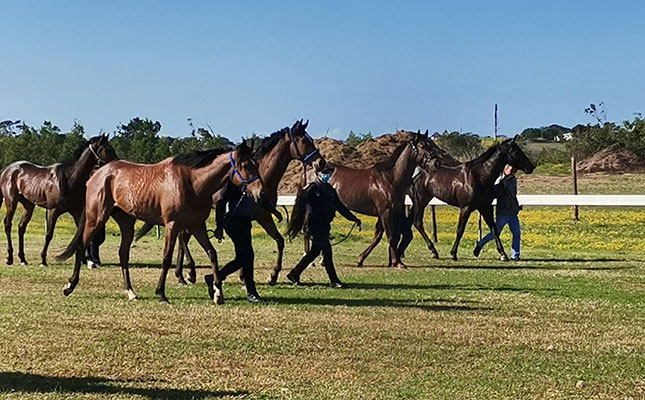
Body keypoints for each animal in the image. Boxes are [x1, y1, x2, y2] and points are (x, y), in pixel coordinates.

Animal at [0, 134, 115, 266]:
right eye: (107, 149)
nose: (118, 163)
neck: (69, 178)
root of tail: (7, 170)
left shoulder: (76, 211)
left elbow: (80, 235)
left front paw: (85, 260)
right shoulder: (53, 211)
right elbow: (49, 235)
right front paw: (43, 260)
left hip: (28, 206)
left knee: (21, 227)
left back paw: (23, 259)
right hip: (11, 202)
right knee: (8, 224)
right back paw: (9, 258)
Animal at [55, 141, 262, 304]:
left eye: (255, 164)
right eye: (245, 165)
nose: (259, 192)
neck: (191, 182)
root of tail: (98, 174)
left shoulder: (197, 226)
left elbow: (212, 253)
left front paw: (218, 293)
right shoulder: (173, 225)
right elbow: (166, 258)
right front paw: (161, 293)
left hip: (126, 223)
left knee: (123, 254)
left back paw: (130, 292)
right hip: (96, 217)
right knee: (81, 246)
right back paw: (69, 286)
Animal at [322, 131, 432, 268]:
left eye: (429, 144)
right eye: (421, 145)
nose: (435, 161)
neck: (390, 178)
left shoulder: (387, 213)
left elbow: (379, 237)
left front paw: (361, 259)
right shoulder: (385, 212)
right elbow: (391, 237)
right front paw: (396, 262)